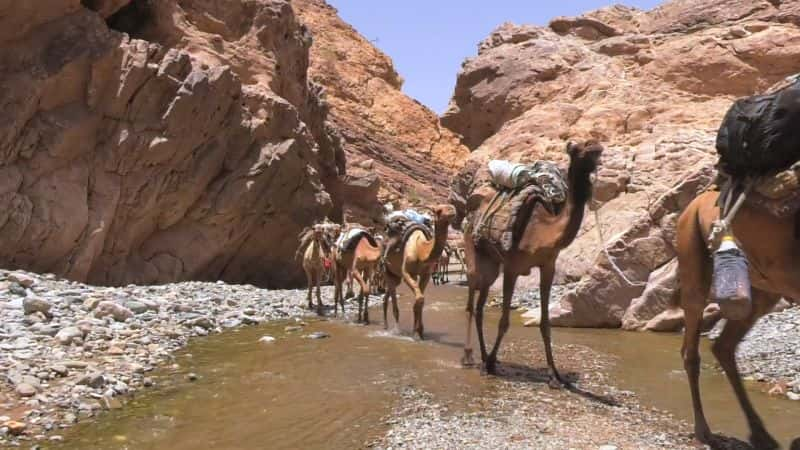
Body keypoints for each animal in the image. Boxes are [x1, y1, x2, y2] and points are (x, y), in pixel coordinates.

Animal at [382, 204, 456, 338]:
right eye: (438, 210)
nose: (452, 209)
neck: (421, 249)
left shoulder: (425, 274)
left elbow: (419, 301)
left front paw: (418, 331)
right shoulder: (406, 273)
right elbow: (420, 299)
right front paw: (417, 332)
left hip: (396, 276)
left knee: (387, 295)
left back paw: (386, 326)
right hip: (387, 271)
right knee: (394, 302)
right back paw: (396, 331)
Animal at [460, 141, 604, 380]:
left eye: (596, 150)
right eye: (582, 150)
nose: (599, 152)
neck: (543, 232)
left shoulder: (548, 266)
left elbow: (545, 324)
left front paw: (555, 375)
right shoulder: (512, 267)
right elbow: (504, 321)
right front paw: (491, 363)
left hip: (492, 265)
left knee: (480, 307)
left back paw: (482, 357)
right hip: (472, 251)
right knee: (471, 301)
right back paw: (469, 357)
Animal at [676, 190, 800, 450]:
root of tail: (693, 205)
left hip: (760, 289)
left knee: (724, 345)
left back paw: (761, 435)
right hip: (691, 251)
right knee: (692, 351)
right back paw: (704, 432)